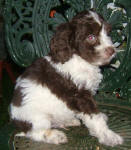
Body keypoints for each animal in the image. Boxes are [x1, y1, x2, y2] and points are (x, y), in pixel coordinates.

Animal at [9, 10, 123, 146]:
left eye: (107, 32)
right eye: (91, 37)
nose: (112, 51)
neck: (79, 58)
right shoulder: (80, 96)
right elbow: (94, 117)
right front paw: (109, 136)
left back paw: (69, 121)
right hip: (38, 118)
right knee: (36, 133)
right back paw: (55, 136)